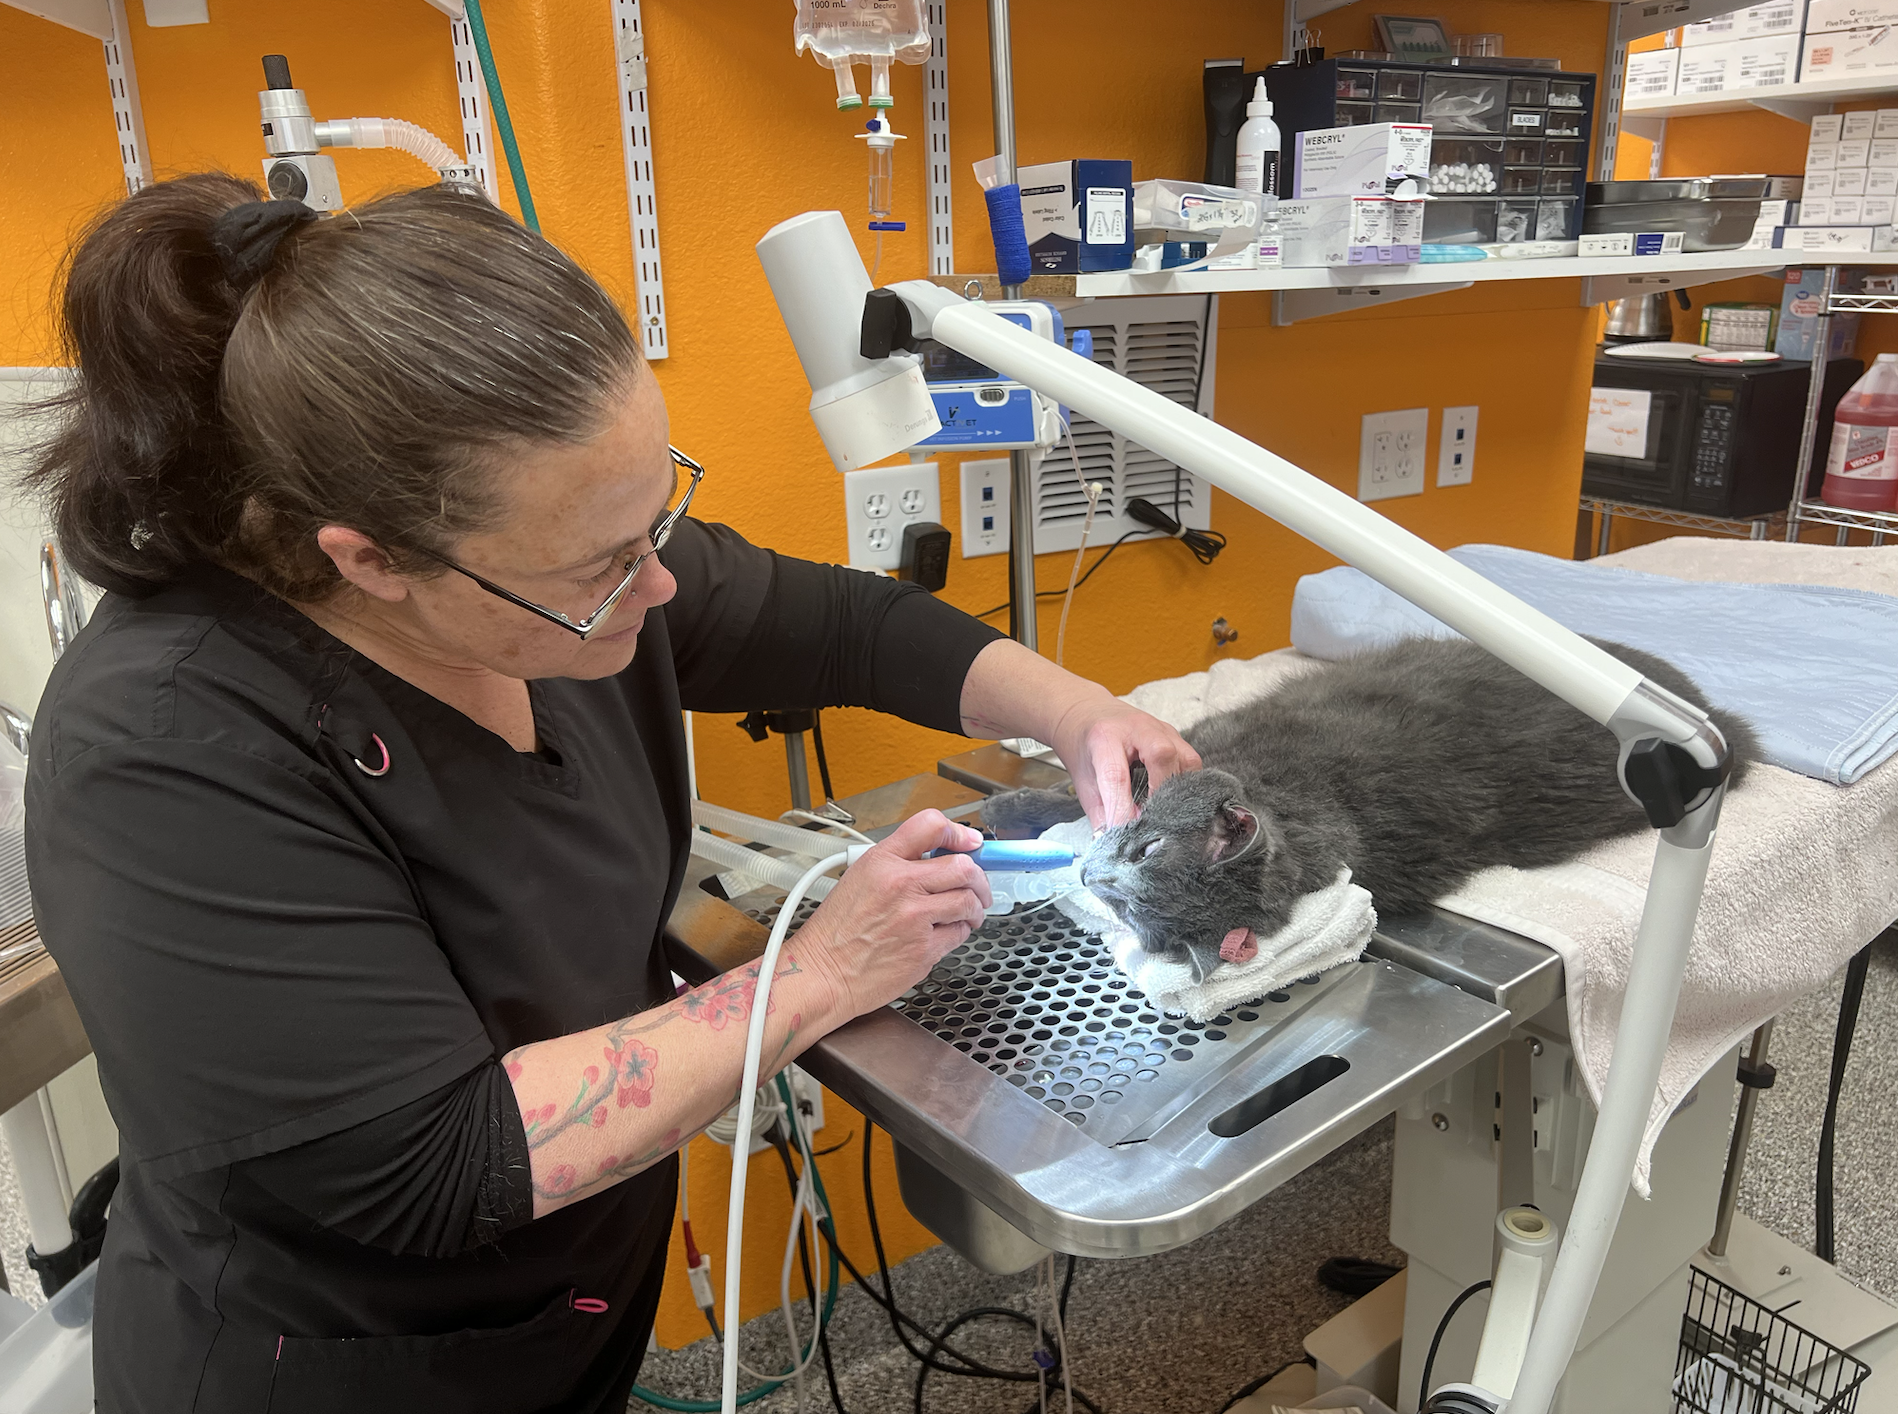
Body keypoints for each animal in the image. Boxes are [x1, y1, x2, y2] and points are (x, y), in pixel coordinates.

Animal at [985, 637, 1758, 984]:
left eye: (1133, 910)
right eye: (1143, 851)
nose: (1090, 878)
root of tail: (1711, 714)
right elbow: (1080, 786)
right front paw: (1016, 801)